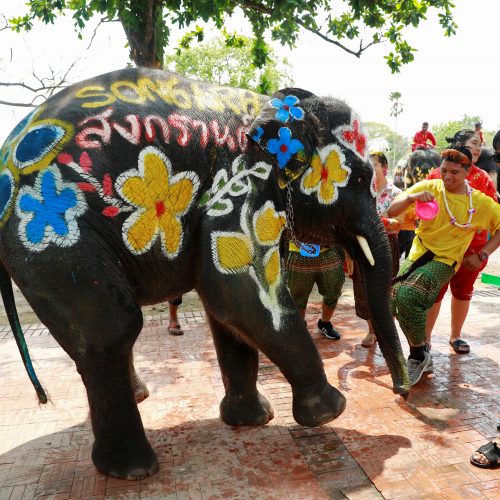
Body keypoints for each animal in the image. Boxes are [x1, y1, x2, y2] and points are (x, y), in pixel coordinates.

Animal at [0, 67, 408, 480]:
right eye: (361, 179)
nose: (401, 392)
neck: (273, 106)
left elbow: (227, 311)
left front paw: (253, 420)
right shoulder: (239, 183)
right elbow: (238, 294)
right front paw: (330, 412)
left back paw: (139, 401)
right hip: (54, 242)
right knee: (112, 330)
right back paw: (133, 470)